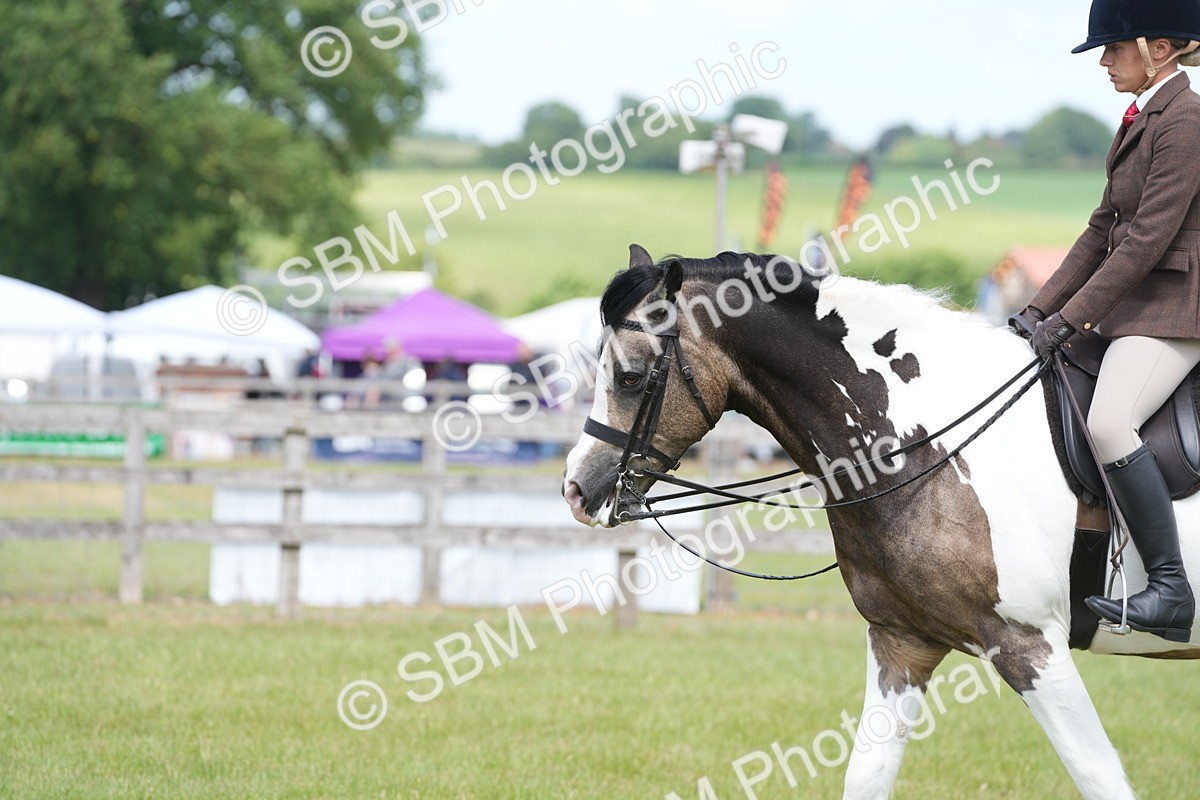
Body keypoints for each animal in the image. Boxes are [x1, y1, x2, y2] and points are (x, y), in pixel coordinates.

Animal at [561, 244, 1200, 800]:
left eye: (631, 376)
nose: (575, 488)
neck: (925, 439)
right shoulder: (902, 641)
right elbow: (866, 775)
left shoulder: (1031, 645)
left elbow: (1099, 775)